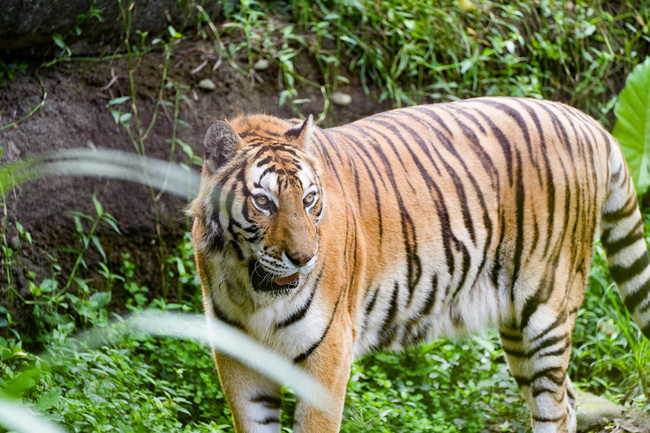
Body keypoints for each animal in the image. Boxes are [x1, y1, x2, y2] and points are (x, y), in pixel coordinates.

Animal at [187, 98, 648, 432]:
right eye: (263, 202)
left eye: (309, 199)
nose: (303, 258)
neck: (253, 290)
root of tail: (586, 120)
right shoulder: (238, 357)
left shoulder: (328, 353)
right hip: (517, 327)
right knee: (566, 400)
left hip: (546, 308)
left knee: (556, 409)